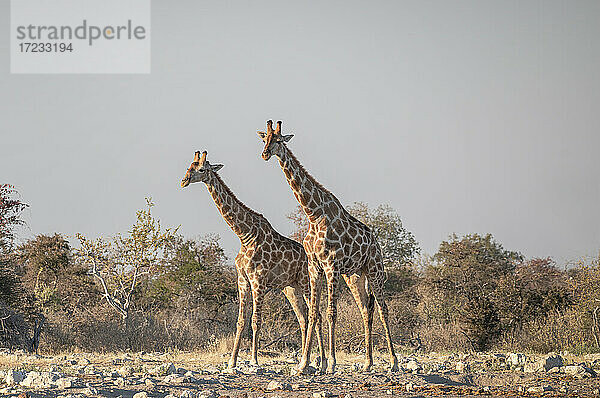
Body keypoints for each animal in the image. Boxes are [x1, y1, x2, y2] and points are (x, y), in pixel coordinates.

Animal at [180, 150, 326, 370]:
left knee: (316, 315)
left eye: (202, 169)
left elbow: (256, 320)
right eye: (189, 166)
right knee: (303, 319)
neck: (244, 234)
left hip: (306, 282)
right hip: (290, 288)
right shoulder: (242, 280)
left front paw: (254, 360)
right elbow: (241, 321)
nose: (184, 181)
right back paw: (303, 360)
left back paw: (321, 362)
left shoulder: (258, 280)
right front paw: (232, 361)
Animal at [256, 120, 398, 374]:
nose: (265, 154)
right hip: (354, 275)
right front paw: (304, 363)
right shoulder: (314, 267)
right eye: (265, 139)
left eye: (279, 140)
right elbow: (313, 313)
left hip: (375, 270)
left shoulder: (331, 266)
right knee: (366, 309)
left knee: (383, 309)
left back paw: (393, 362)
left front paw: (330, 363)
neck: (313, 214)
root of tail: (376, 243)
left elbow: (331, 312)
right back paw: (367, 362)